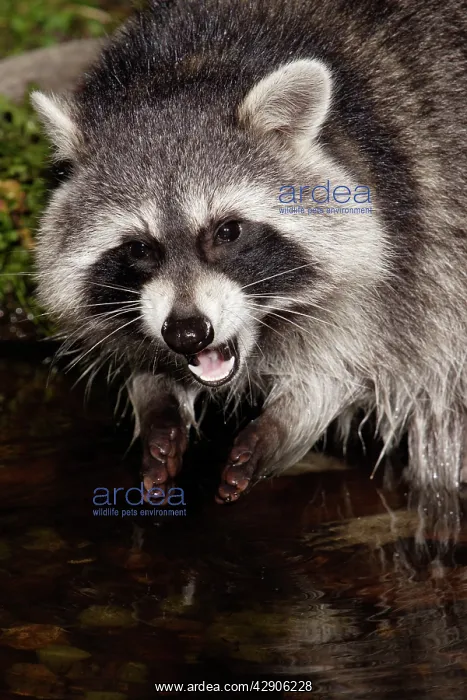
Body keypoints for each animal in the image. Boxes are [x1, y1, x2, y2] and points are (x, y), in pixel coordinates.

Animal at [32, 0, 467, 505]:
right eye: (139, 247)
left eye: (228, 231)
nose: (187, 333)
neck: (190, 65)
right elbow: (145, 365)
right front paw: (158, 400)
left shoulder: (404, 252)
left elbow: (341, 370)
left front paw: (287, 422)